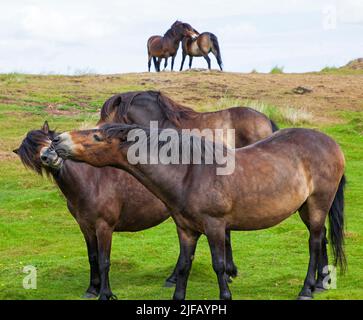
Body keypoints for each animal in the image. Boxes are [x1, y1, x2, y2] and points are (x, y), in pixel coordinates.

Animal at [51, 124, 346, 300]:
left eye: (97, 136)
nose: (56, 140)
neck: (189, 173)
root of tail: (331, 142)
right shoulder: (186, 230)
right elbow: (184, 266)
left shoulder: (215, 226)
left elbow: (218, 265)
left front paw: (225, 295)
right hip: (307, 208)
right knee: (322, 239)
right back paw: (321, 283)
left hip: (318, 204)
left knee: (314, 243)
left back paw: (306, 289)